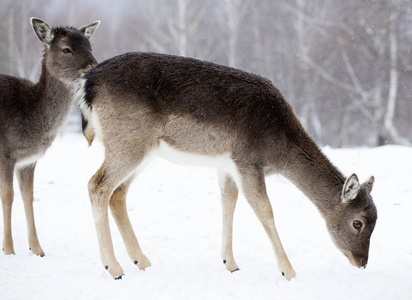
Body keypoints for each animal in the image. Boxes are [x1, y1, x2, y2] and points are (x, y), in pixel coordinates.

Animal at [0, 17, 100, 255]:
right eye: (66, 49)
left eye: (89, 46)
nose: (93, 66)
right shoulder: (6, 154)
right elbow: (8, 197)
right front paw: (9, 249)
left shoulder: (28, 160)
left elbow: (28, 196)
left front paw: (37, 249)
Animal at [75, 51, 378, 278]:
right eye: (358, 223)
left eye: (377, 220)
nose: (362, 262)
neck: (280, 148)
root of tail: (87, 83)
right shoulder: (248, 161)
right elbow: (265, 211)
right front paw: (289, 271)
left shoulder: (228, 165)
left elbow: (228, 203)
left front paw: (230, 263)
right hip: (128, 142)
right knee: (97, 185)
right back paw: (114, 268)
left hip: (141, 150)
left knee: (118, 193)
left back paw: (142, 260)